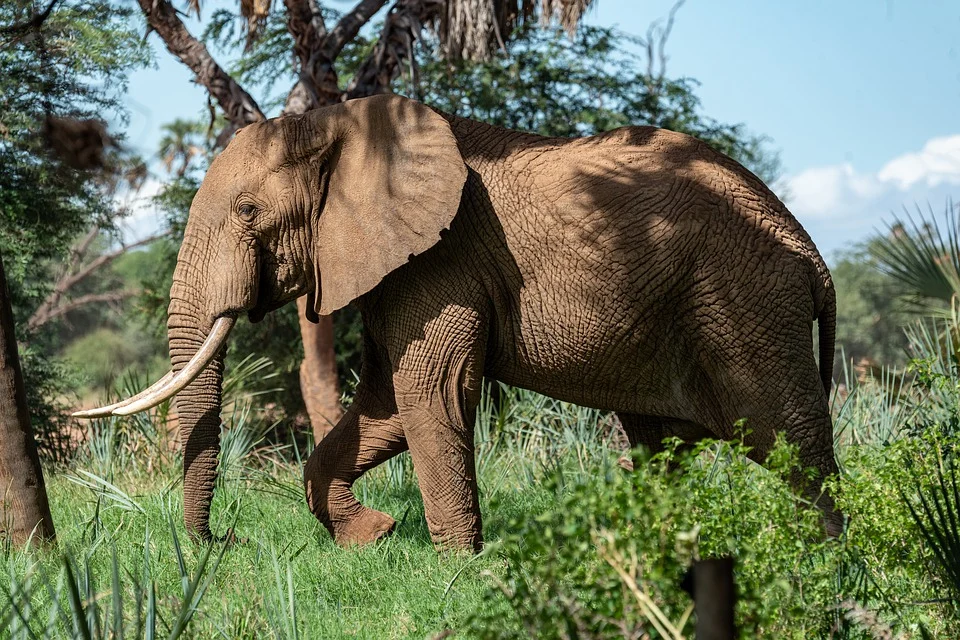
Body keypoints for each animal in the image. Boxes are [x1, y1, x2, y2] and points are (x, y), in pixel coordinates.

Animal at [77, 94, 840, 552]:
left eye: (246, 211)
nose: (224, 543)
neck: (339, 122)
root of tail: (810, 251)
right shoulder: (398, 267)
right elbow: (384, 404)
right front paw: (374, 536)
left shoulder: (441, 260)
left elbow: (430, 393)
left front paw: (459, 570)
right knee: (664, 448)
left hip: (747, 303)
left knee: (793, 445)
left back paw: (824, 568)